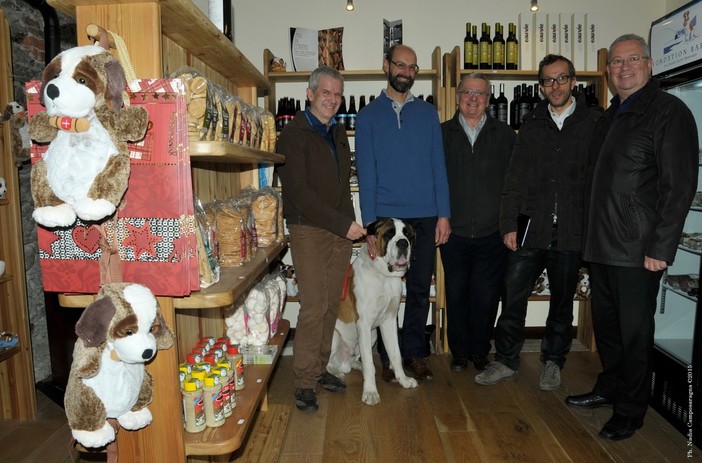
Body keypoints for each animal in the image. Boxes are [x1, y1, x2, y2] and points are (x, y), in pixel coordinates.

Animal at [328, 219, 420, 404]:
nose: (403, 243)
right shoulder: (364, 324)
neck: (384, 277)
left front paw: (404, 380)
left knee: (353, 359)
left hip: (372, 335)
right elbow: (370, 363)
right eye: (389, 234)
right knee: (328, 364)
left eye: (407, 234)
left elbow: (395, 354)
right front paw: (370, 392)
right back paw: (336, 373)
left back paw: (356, 365)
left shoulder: (389, 322)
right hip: (335, 336)